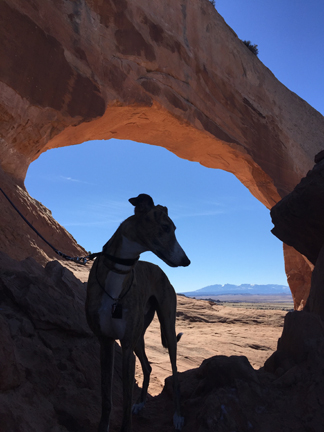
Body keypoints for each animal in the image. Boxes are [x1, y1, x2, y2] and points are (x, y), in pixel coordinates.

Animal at [86, 194, 190, 430]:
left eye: (175, 228)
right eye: (165, 227)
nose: (187, 261)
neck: (118, 273)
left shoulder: (125, 349)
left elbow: (124, 407)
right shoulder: (106, 342)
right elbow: (107, 399)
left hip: (167, 328)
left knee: (175, 374)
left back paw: (178, 416)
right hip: (139, 336)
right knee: (148, 367)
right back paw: (141, 403)